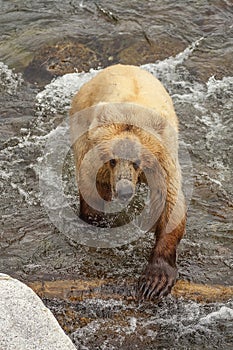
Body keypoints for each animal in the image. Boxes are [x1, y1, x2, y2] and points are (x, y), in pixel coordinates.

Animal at [69, 64, 186, 300]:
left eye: (136, 161)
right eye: (112, 160)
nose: (124, 191)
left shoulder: (163, 159)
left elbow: (171, 202)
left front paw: (155, 281)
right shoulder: (94, 157)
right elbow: (92, 192)